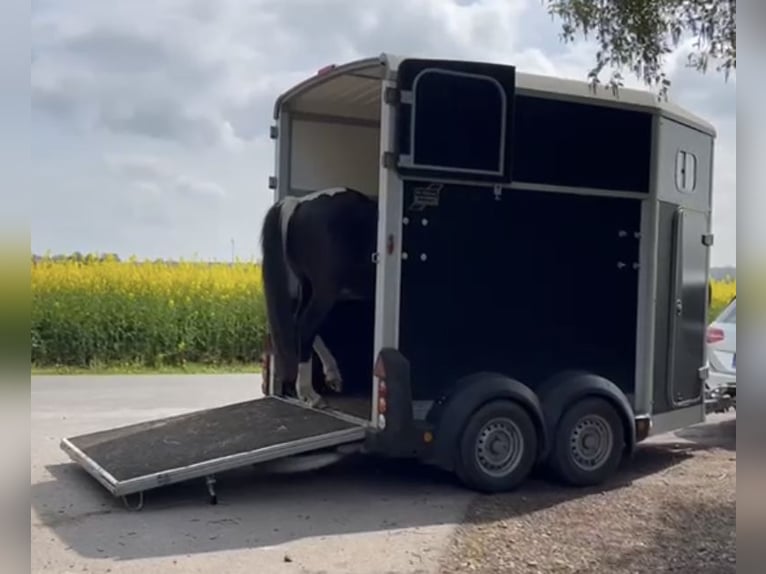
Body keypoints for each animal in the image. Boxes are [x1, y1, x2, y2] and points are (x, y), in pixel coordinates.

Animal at [260, 189, 380, 410]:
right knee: (306, 326)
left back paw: (331, 376)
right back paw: (310, 394)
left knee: (301, 323)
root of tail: (298, 203)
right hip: (325, 290)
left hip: (308, 286)